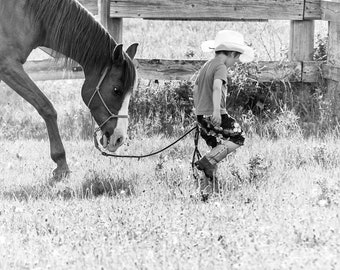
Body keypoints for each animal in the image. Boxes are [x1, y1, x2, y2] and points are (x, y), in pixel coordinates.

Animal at [0, 0, 138, 179]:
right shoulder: (8, 66)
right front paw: (61, 163)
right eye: (116, 90)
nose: (119, 138)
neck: (26, 12)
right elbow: (46, 107)